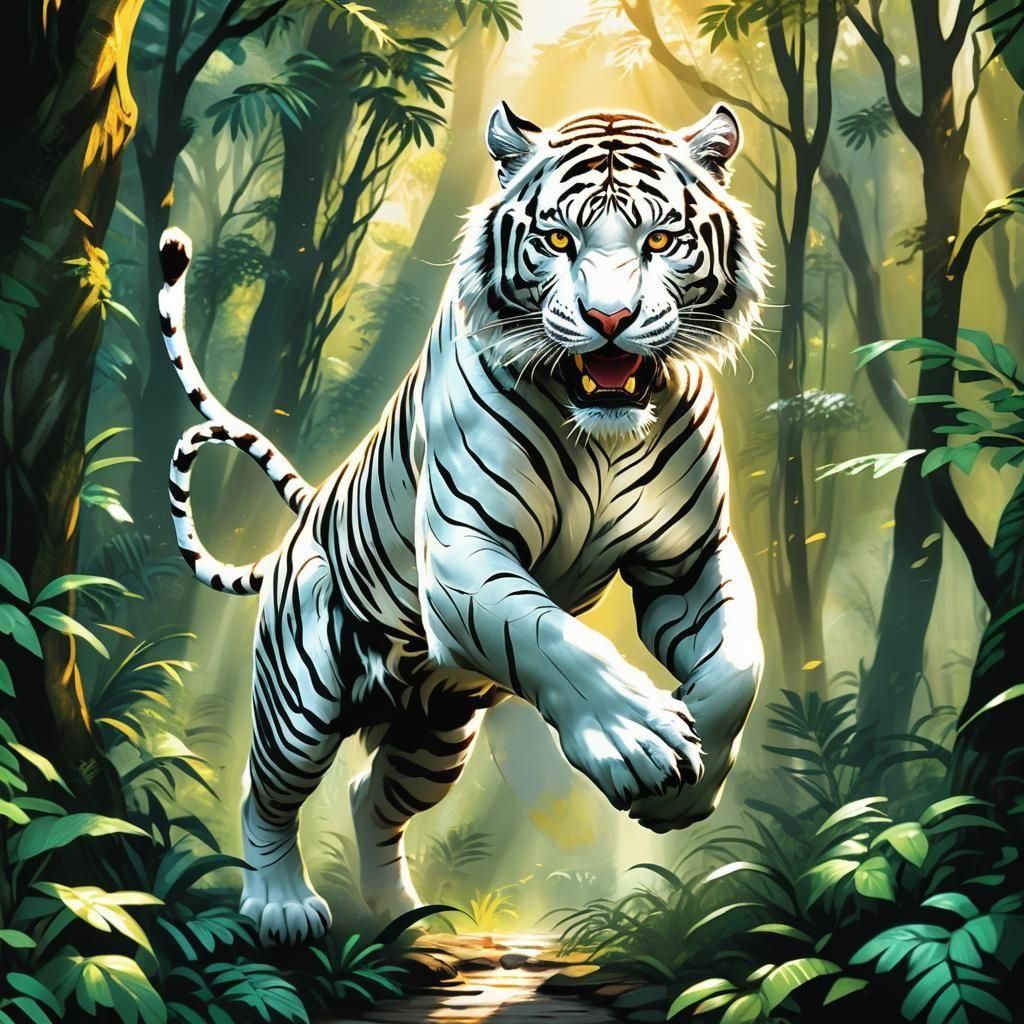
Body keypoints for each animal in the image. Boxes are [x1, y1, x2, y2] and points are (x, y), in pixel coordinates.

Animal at [156, 101, 767, 946]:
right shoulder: (461, 553)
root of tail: (304, 522)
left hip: (435, 737)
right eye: (558, 240)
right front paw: (637, 741)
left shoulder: (688, 562)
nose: (609, 319)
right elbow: (555, 640)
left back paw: (402, 920)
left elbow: (738, 665)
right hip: (301, 700)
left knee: (369, 798)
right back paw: (281, 905)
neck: (600, 431)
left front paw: (689, 780)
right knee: (265, 791)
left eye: (658, 240)